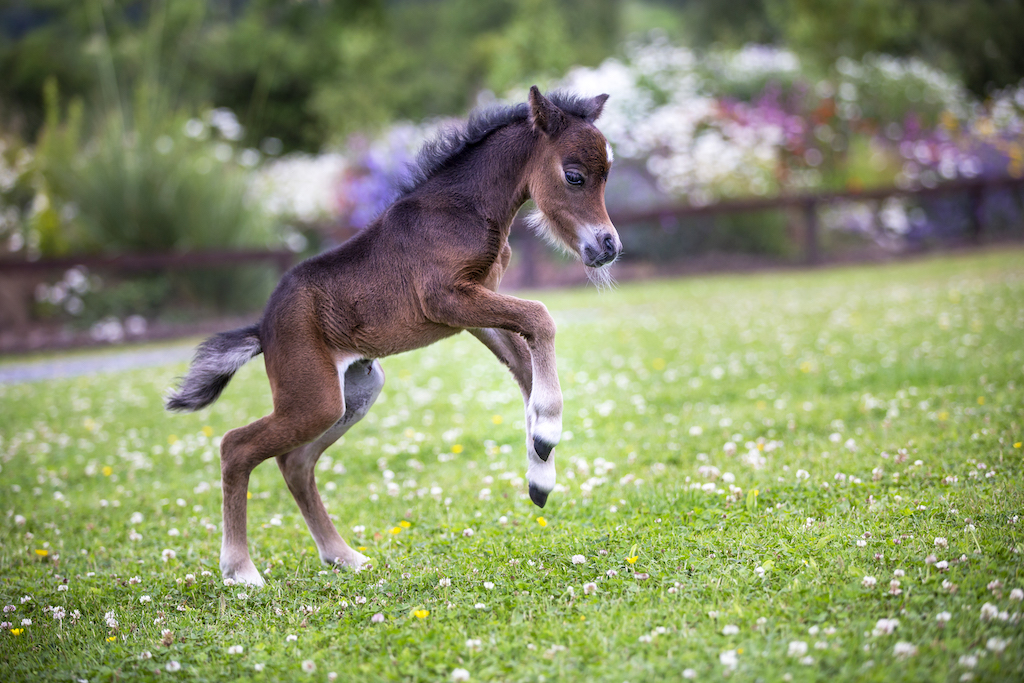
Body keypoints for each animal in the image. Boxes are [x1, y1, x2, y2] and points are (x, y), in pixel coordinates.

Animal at [166, 87, 621, 586]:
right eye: (574, 176)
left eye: (608, 174)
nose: (608, 246)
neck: (464, 208)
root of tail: (263, 328)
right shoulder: (446, 299)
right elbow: (540, 318)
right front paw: (547, 433)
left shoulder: (474, 310)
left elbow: (524, 365)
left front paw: (540, 466)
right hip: (312, 397)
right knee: (236, 447)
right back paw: (240, 569)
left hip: (356, 390)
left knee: (296, 463)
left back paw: (343, 555)